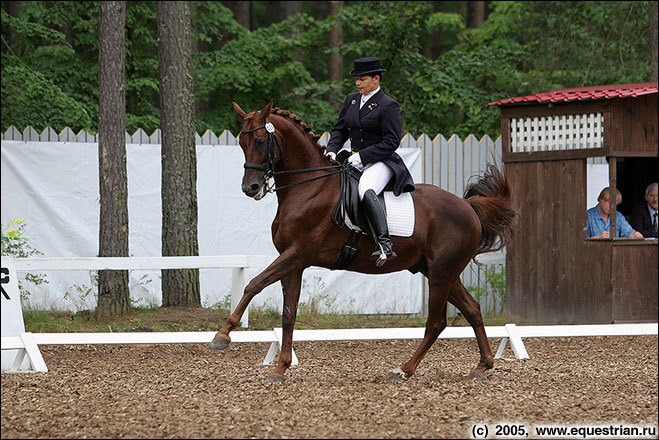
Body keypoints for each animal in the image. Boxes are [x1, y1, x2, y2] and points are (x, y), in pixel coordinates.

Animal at [211, 99, 516, 382]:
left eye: (261, 141)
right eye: (241, 142)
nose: (250, 188)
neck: (309, 187)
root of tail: (468, 207)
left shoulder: (297, 254)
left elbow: (253, 284)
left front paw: (223, 335)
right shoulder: (293, 262)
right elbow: (288, 312)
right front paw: (281, 367)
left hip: (442, 271)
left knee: (436, 321)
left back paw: (404, 369)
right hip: (435, 270)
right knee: (472, 309)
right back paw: (482, 365)